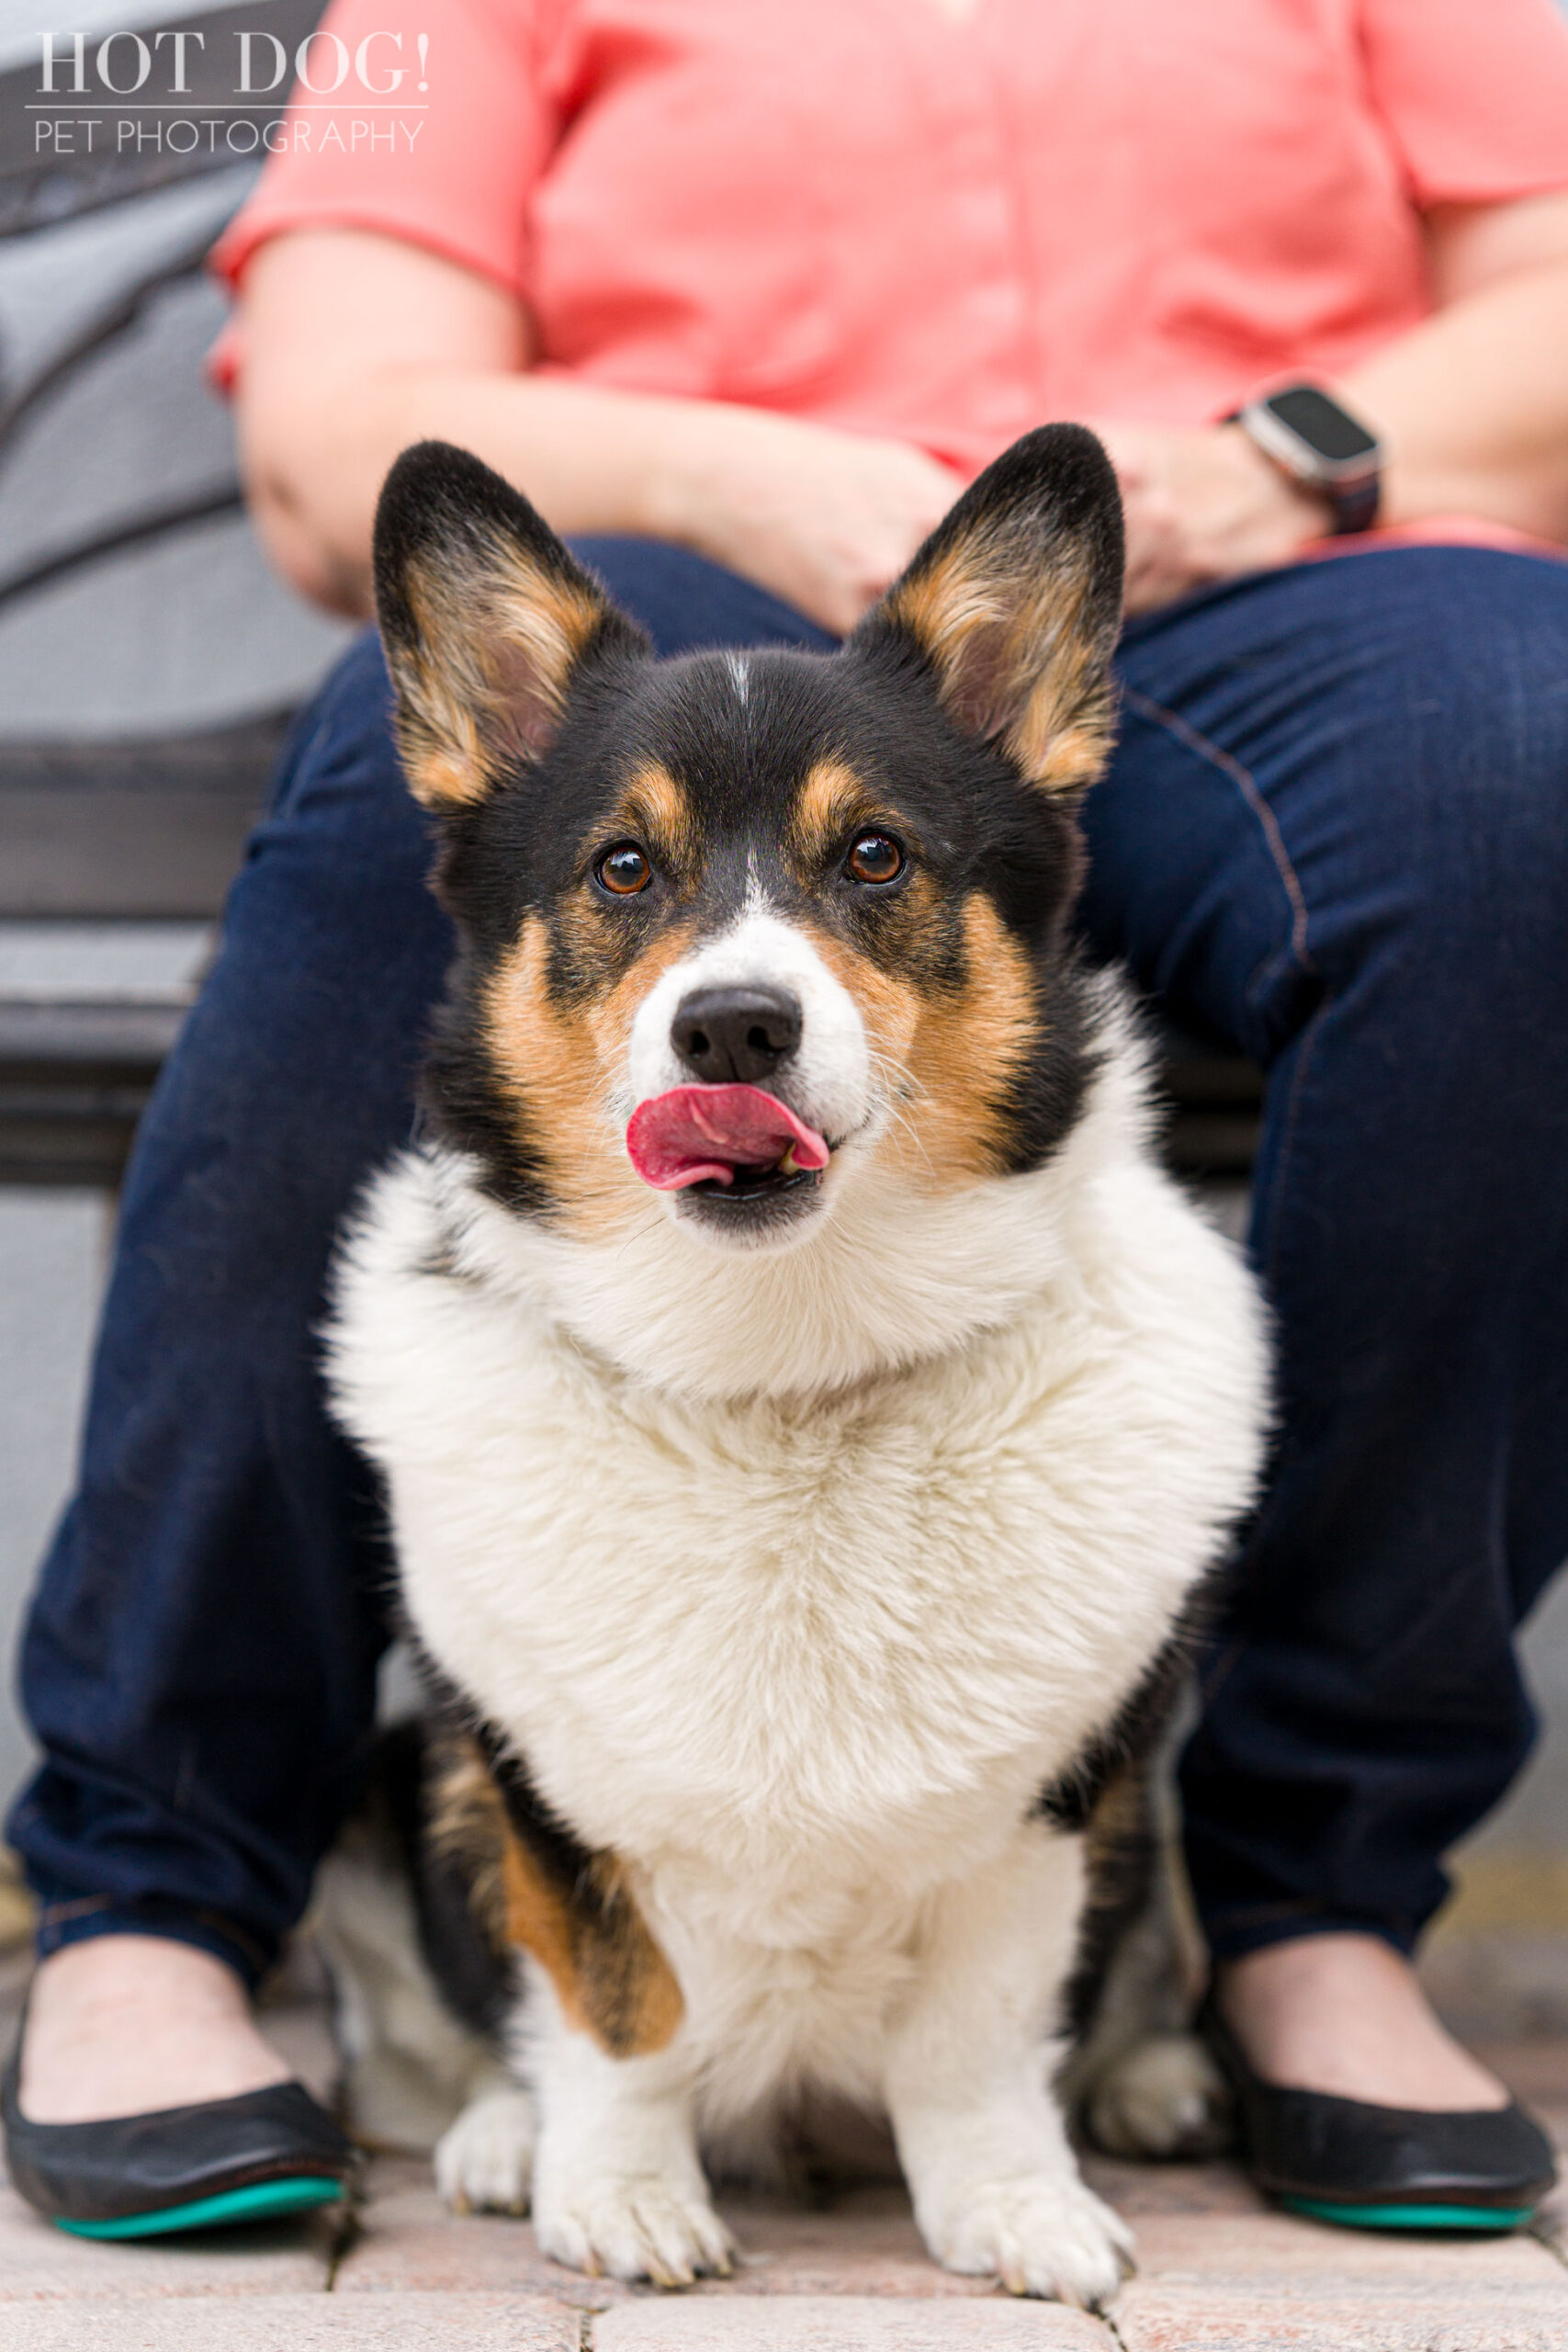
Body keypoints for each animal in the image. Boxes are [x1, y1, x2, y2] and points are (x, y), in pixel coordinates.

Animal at [324, 427, 1269, 2314]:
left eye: (877, 858)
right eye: (623, 869)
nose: (733, 1029)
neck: (787, 1374)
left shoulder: (1049, 1809)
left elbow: (977, 2041)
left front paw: (1016, 2210)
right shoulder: (539, 1790)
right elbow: (615, 2002)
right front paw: (619, 2196)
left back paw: (1145, 2085)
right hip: (398, 1789)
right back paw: (498, 2138)